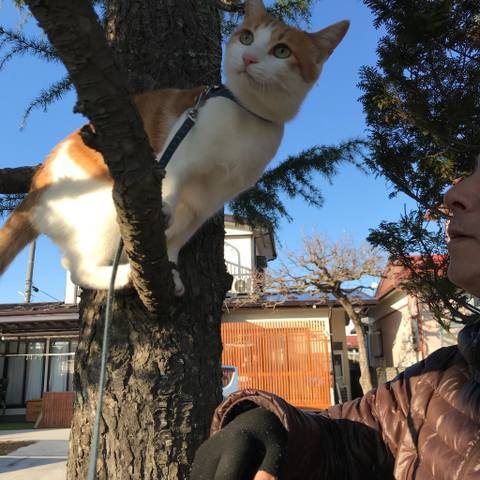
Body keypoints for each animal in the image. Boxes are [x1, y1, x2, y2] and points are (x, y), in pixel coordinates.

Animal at [0, 0, 349, 296]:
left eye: (281, 51)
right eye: (247, 37)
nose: (248, 59)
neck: (247, 112)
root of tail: (37, 183)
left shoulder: (206, 204)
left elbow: (178, 238)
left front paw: (171, 267)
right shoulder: (180, 154)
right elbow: (171, 180)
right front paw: (164, 208)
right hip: (103, 211)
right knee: (76, 267)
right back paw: (122, 275)